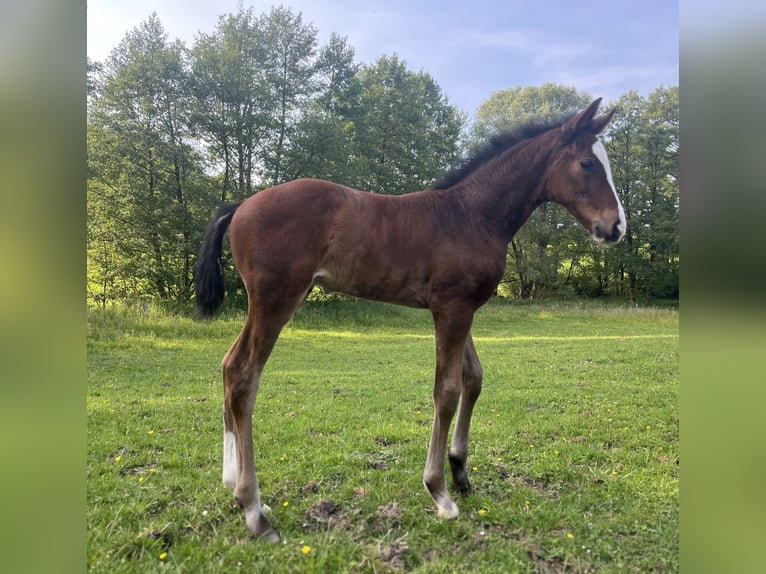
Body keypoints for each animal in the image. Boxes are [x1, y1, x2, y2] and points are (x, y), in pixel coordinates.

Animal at [194, 98, 625, 541]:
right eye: (587, 163)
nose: (615, 227)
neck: (471, 215)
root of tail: (241, 205)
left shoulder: (461, 308)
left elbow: (474, 379)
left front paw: (460, 471)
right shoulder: (451, 309)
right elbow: (447, 391)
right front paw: (439, 492)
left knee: (228, 365)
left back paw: (232, 483)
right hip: (276, 299)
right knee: (244, 374)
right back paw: (254, 510)